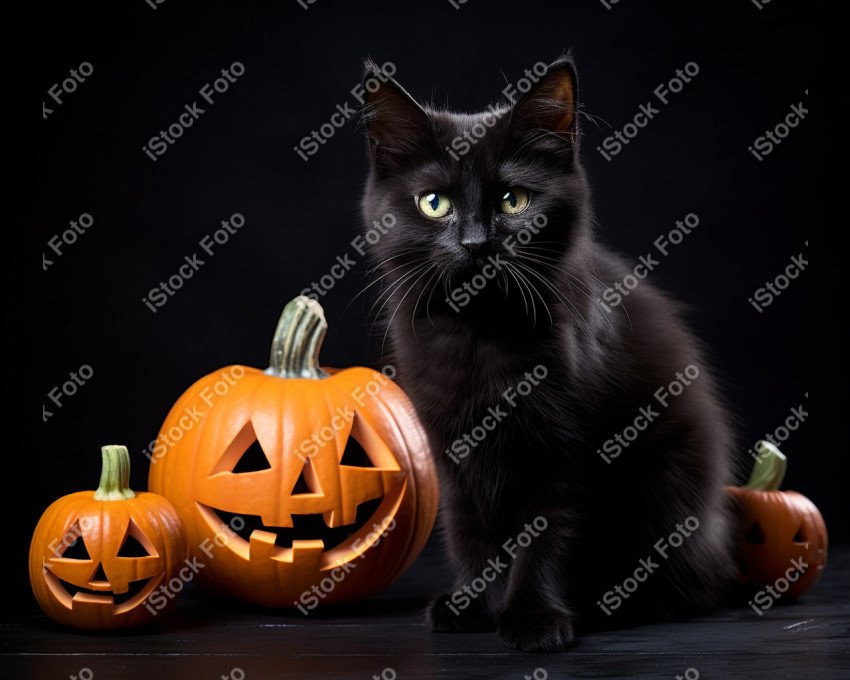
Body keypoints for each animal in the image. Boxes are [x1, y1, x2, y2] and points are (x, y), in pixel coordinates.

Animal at [354, 55, 732, 652]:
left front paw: (534, 618)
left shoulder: (570, 451)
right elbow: (469, 532)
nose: (476, 243)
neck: (479, 337)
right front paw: (473, 606)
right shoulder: (452, 450)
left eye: (514, 200)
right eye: (434, 204)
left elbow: (548, 536)